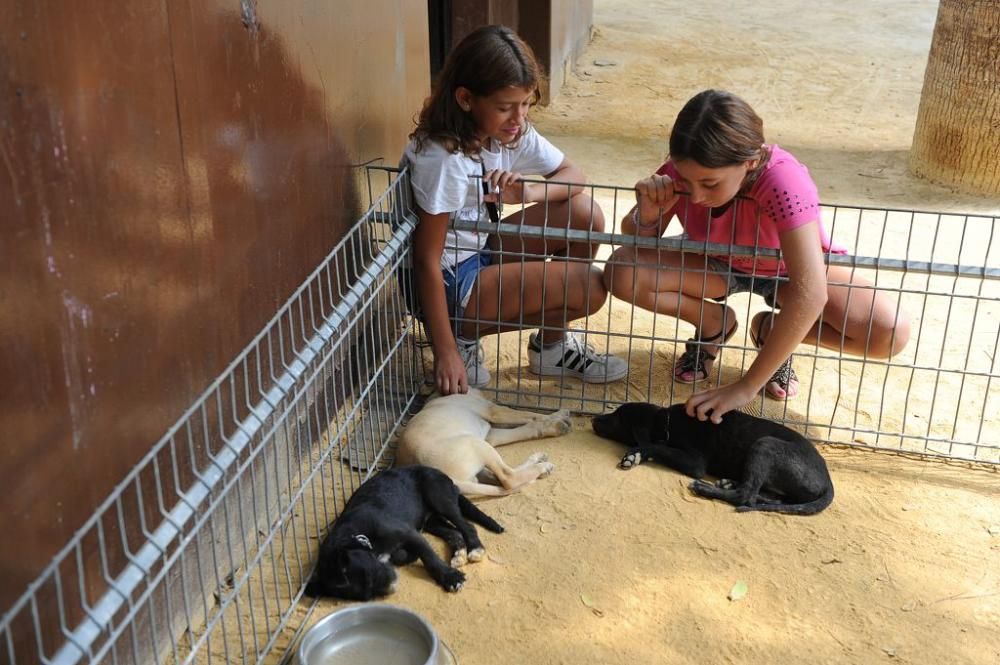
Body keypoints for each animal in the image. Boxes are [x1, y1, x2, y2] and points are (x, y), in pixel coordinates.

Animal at [304, 464, 504, 600]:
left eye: (369, 575)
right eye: (366, 597)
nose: (392, 587)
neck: (356, 536)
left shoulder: (408, 533)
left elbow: (429, 557)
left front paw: (450, 578)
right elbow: (403, 555)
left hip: (438, 495)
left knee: (466, 526)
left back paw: (475, 548)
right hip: (431, 521)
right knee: (453, 532)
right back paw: (459, 554)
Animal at [396, 390, 576, 492]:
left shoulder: (491, 435)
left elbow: (527, 427)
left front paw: (553, 424)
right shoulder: (495, 411)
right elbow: (532, 415)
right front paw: (558, 417)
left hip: (481, 451)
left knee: (500, 476)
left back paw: (538, 461)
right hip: (476, 443)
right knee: (508, 478)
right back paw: (542, 467)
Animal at [588, 402, 832, 516]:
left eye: (618, 417)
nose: (593, 420)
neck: (666, 422)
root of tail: (828, 481)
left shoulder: (695, 462)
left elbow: (657, 446)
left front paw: (635, 453)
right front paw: (637, 455)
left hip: (766, 445)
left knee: (747, 496)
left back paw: (705, 488)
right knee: (766, 496)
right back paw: (729, 482)